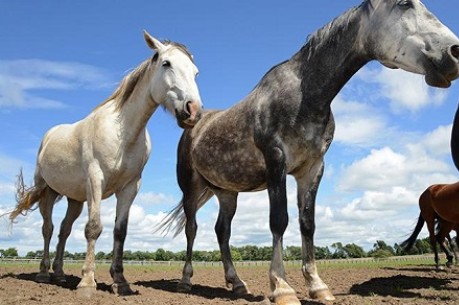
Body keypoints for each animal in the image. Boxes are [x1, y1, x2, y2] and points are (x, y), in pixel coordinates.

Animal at [8, 30, 202, 296]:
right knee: (48, 229)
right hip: (48, 192)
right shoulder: (95, 180)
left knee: (64, 230)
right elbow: (94, 228)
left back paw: (59, 274)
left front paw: (120, 281)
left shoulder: (130, 187)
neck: (123, 133)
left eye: (195, 72)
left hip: (75, 200)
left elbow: (120, 232)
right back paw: (44, 274)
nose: (193, 111)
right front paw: (87, 283)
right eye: (166, 63)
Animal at [161, 1, 459, 302]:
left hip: (227, 193)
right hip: (190, 188)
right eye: (404, 4)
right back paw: (185, 281)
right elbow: (279, 221)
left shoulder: (312, 168)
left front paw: (317, 286)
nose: (454, 52)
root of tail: (195, 123)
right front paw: (282, 288)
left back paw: (237, 283)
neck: (305, 95)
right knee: (192, 228)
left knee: (223, 231)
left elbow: (308, 224)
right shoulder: (276, 162)